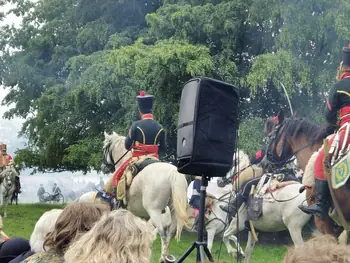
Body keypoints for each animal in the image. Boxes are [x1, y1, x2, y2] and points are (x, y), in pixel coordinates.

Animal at [77, 133, 189, 262]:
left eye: (104, 148)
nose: (103, 166)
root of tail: (173, 172)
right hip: (173, 211)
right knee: (170, 232)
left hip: (154, 211)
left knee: (163, 234)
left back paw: (161, 258)